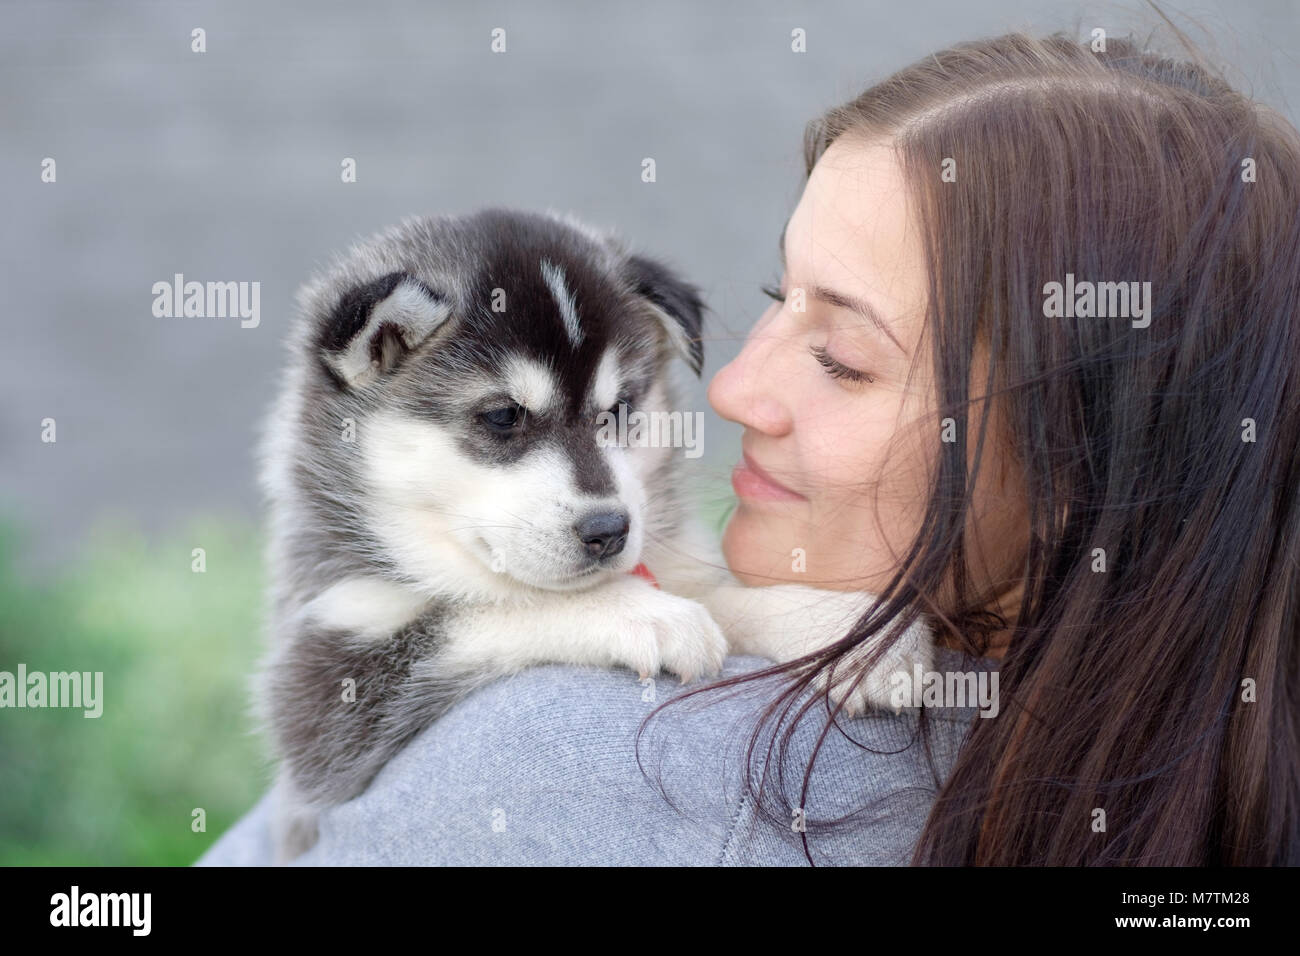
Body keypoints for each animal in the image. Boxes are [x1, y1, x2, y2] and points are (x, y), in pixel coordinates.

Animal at [256, 208, 935, 858]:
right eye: (503, 417)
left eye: (620, 410)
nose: (608, 530)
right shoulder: (323, 691)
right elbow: (494, 608)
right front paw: (646, 614)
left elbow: (718, 595)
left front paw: (844, 630)